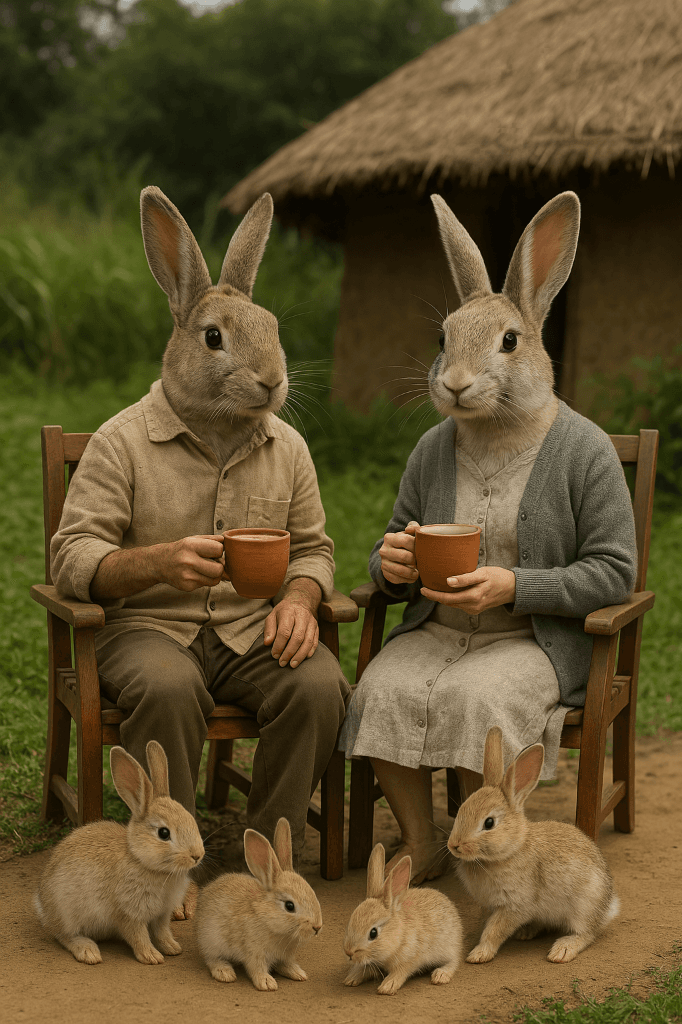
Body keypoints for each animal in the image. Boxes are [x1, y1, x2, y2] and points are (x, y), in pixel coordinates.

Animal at [34, 740, 204, 965]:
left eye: (191, 820)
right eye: (164, 833)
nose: (197, 855)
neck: (142, 860)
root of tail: (43, 907)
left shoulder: (161, 914)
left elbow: (162, 932)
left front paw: (172, 948)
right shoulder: (128, 913)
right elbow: (138, 935)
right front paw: (152, 957)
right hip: (66, 912)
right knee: (63, 935)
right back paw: (88, 952)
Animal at [196, 817, 322, 991]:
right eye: (289, 906)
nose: (317, 927)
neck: (269, 921)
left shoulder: (285, 955)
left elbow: (286, 964)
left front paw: (298, 973)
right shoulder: (254, 952)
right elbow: (256, 968)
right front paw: (267, 983)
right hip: (212, 940)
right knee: (211, 958)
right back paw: (224, 973)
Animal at [343, 843, 462, 995]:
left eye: (373, 933)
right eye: (350, 922)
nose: (349, 953)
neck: (399, 937)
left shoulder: (409, 960)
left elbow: (400, 972)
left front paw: (387, 986)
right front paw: (351, 978)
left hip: (448, 948)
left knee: (454, 961)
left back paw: (440, 975)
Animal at [447, 726, 619, 964]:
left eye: (489, 823)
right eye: (461, 810)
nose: (453, 845)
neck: (511, 850)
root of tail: (607, 907)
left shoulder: (515, 905)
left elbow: (494, 930)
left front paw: (479, 954)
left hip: (585, 904)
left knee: (586, 933)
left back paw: (562, 950)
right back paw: (526, 932)